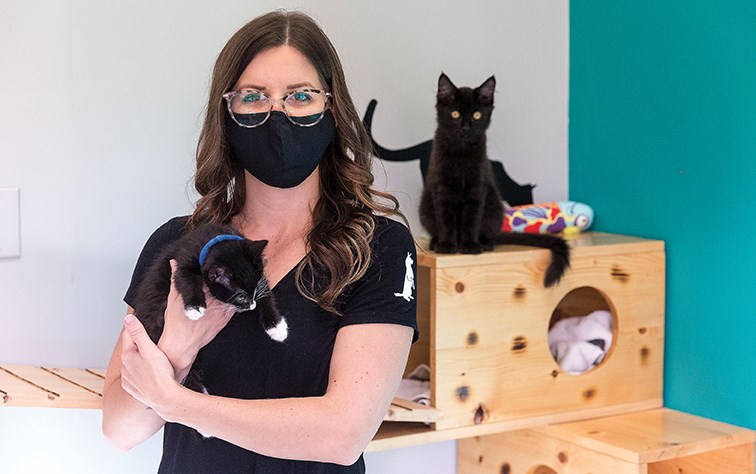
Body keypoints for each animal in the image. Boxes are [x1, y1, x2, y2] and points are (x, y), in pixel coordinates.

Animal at [130, 222, 286, 388]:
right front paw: (195, 308)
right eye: (241, 297)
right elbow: (185, 278)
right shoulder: (182, 261)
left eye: (255, 288)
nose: (251, 306)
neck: (213, 240)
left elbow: (266, 293)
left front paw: (277, 327)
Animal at [420, 74, 568, 286]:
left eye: (477, 115)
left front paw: (470, 245)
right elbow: (446, 218)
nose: (466, 128)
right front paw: (447, 245)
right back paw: (435, 241)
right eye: (455, 114)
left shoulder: (478, 189)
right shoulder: (442, 188)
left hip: (493, 207)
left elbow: (471, 219)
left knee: (487, 231)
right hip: (425, 208)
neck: (461, 153)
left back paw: (484, 242)